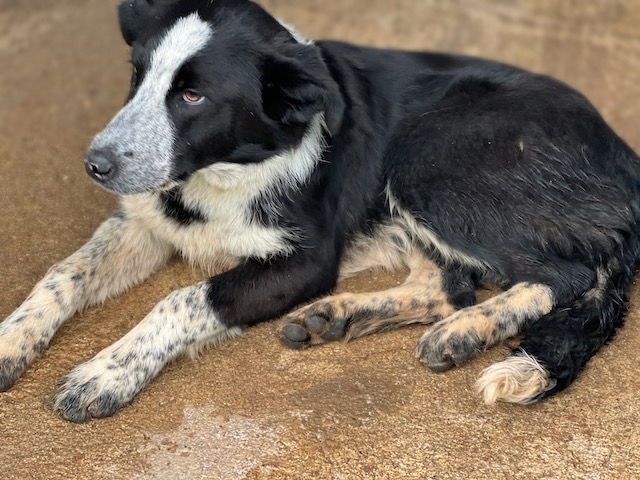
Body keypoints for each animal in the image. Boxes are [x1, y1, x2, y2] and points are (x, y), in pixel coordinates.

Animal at [1, 0, 639, 423]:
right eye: (137, 76)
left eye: (192, 95)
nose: (95, 165)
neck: (225, 172)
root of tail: (622, 154)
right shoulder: (145, 224)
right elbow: (63, 273)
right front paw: (9, 342)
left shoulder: (303, 263)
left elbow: (181, 298)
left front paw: (105, 373)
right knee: (449, 285)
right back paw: (349, 316)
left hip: (425, 156)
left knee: (567, 275)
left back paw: (467, 329)